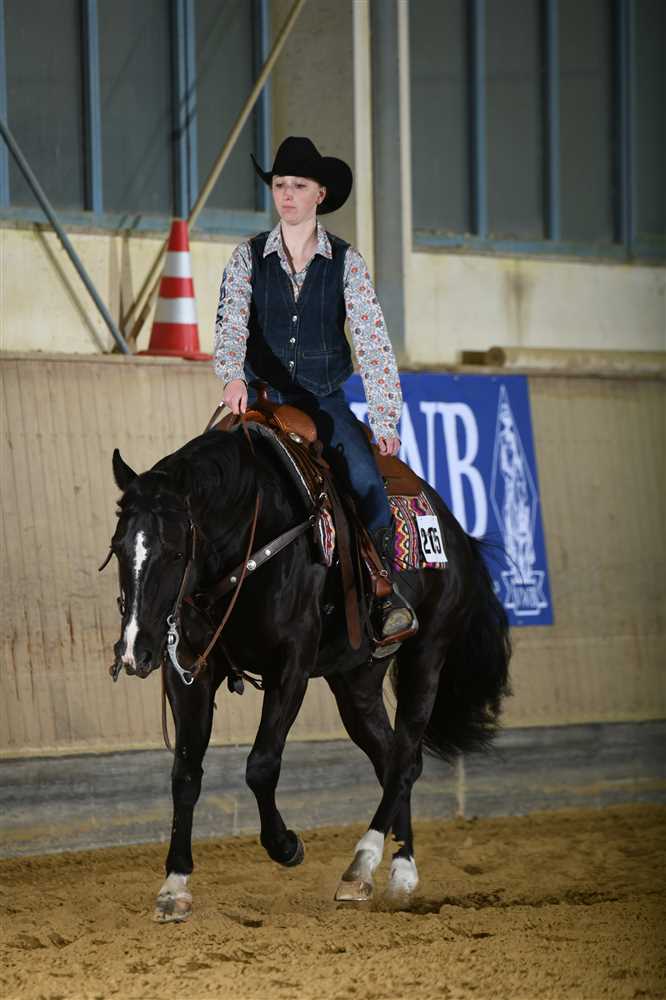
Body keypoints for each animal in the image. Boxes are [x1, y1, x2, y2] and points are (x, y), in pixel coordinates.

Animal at [107, 420, 511, 922]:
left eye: (175, 552)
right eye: (118, 548)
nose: (135, 651)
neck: (250, 538)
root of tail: (455, 530)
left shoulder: (291, 665)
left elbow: (261, 765)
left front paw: (285, 845)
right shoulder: (191, 672)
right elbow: (185, 774)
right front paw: (174, 885)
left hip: (427, 657)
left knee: (402, 761)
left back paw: (365, 864)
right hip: (356, 682)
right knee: (394, 759)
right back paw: (398, 872)